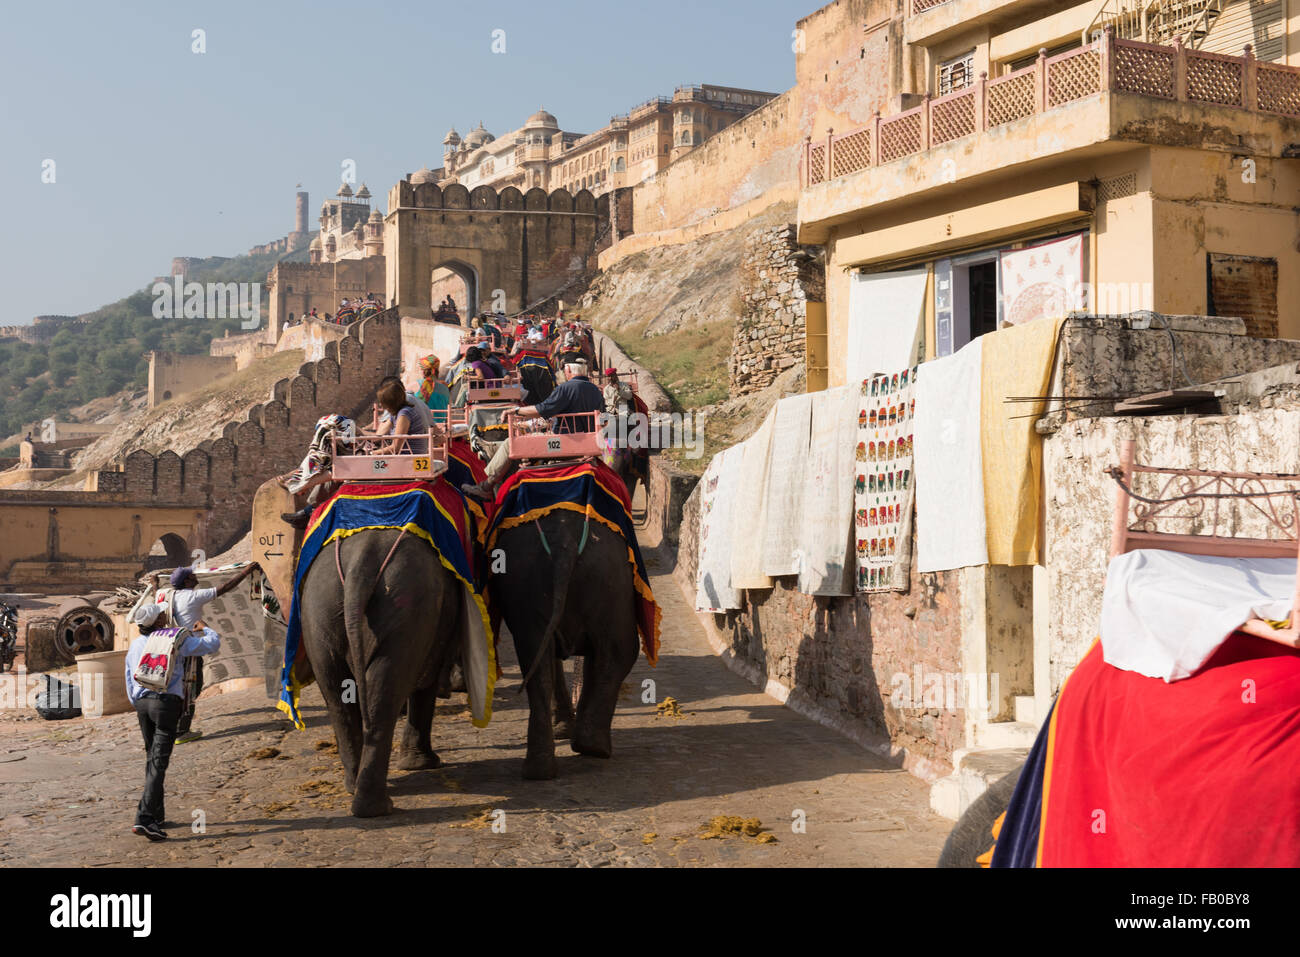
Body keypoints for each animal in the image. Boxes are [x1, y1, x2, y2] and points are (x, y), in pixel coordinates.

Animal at [298, 527, 467, 817]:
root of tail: (361, 561)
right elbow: (426, 682)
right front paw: (423, 764)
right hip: (407, 609)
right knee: (386, 692)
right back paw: (378, 806)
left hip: (319, 612)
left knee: (337, 697)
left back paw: (355, 788)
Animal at [491, 510, 641, 780]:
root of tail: (565, 541)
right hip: (612, 581)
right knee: (621, 653)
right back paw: (595, 748)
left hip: (526, 584)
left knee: (536, 663)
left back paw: (539, 770)